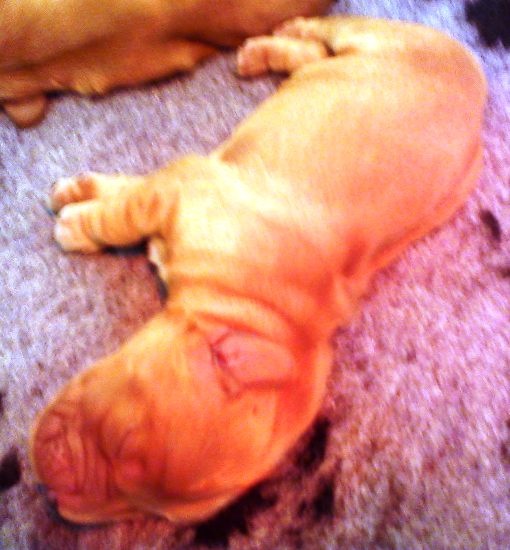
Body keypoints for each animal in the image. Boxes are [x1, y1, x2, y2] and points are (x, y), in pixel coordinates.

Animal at [30, 16, 487, 524]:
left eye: (150, 513)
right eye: (123, 440)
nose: (55, 497)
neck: (253, 307)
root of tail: (477, 78)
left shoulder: (179, 186)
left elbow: (124, 201)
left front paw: (77, 211)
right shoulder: (179, 186)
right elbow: (121, 209)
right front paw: (79, 210)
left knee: (316, 61)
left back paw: (266, 52)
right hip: (382, 39)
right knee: (332, 31)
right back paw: (286, 32)